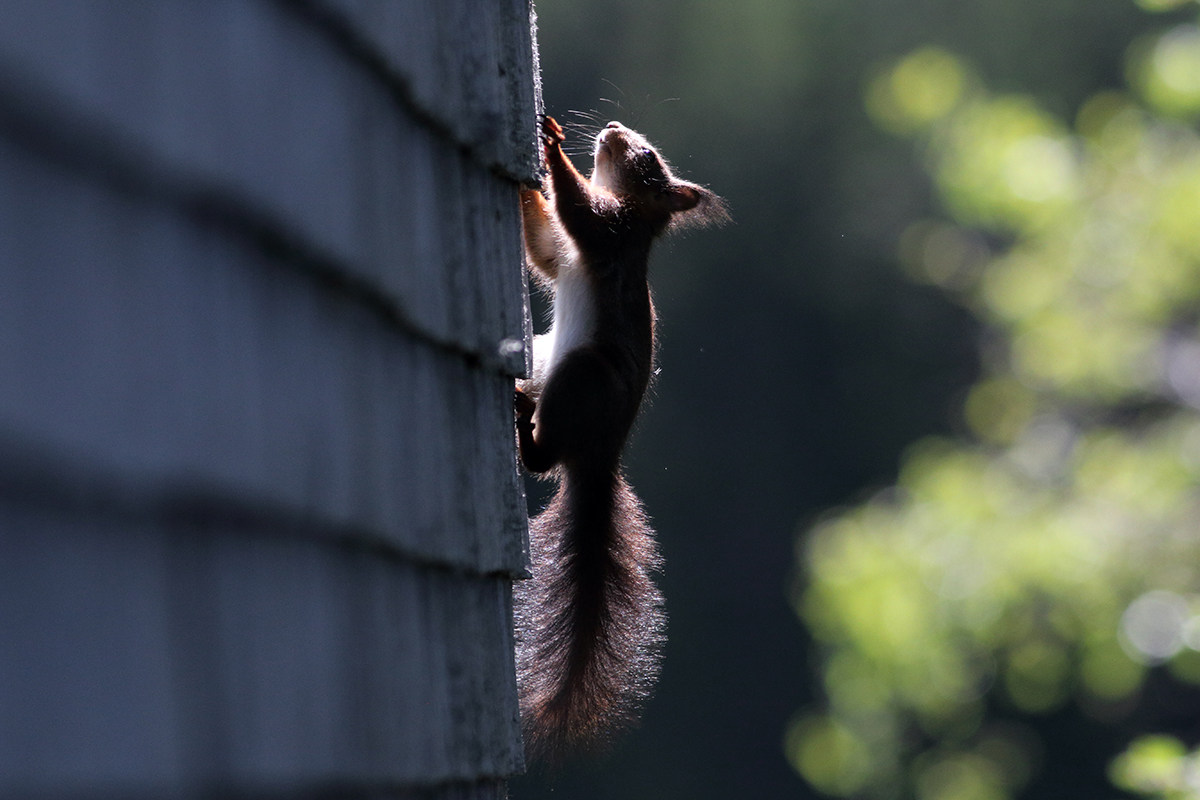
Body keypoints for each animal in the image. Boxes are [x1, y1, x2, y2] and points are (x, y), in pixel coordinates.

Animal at [513, 115, 724, 762]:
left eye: (648, 156)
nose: (610, 126)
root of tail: (601, 456)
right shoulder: (563, 252)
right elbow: (544, 246)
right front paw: (527, 183)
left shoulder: (609, 234)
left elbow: (579, 211)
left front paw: (551, 145)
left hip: (583, 376)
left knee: (543, 459)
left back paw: (523, 425)